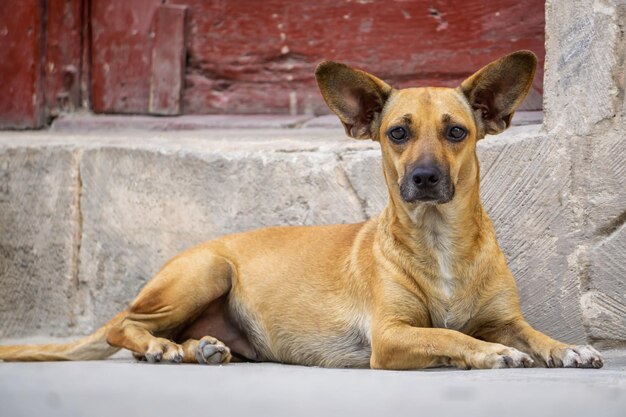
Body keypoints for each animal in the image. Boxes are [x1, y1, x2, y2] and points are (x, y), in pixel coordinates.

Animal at [1, 51, 604, 368]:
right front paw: (487, 353)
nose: (425, 178)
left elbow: (532, 334)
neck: (440, 242)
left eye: (456, 132)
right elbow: (451, 337)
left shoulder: (506, 318)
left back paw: (199, 347)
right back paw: (157, 346)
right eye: (398, 133)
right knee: (122, 328)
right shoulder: (391, 336)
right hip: (206, 270)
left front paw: (567, 348)